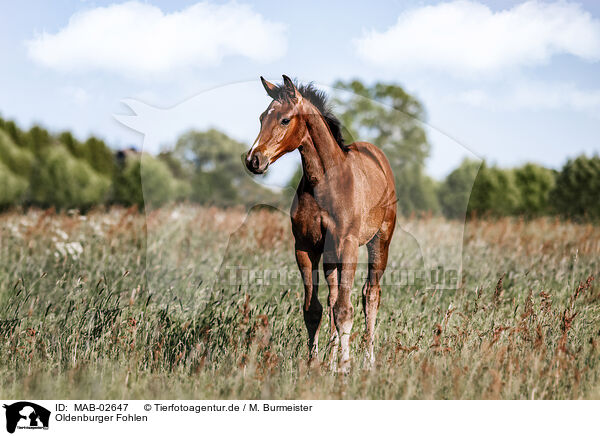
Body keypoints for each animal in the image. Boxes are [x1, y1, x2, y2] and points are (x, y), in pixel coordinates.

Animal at [246, 76, 396, 372]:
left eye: (285, 120)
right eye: (261, 118)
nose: (253, 160)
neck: (325, 182)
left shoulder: (348, 245)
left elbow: (345, 309)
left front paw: (346, 366)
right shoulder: (305, 247)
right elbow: (314, 309)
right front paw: (314, 364)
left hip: (379, 241)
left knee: (370, 295)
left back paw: (368, 360)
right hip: (330, 255)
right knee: (332, 298)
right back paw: (331, 358)